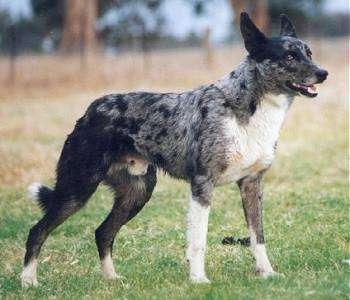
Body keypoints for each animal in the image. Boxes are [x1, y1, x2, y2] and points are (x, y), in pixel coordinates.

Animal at [21, 12, 328, 288]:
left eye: (309, 53)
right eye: (288, 57)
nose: (323, 73)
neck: (246, 107)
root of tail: (90, 111)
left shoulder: (251, 184)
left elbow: (258, 237)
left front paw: (266, 273)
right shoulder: (202, 185)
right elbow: (198, 241)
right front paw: (199, 280)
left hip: (137, 193)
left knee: (103, 232)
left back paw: (112, 279)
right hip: (77, 190)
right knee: (38, 231)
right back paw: (28, 281)